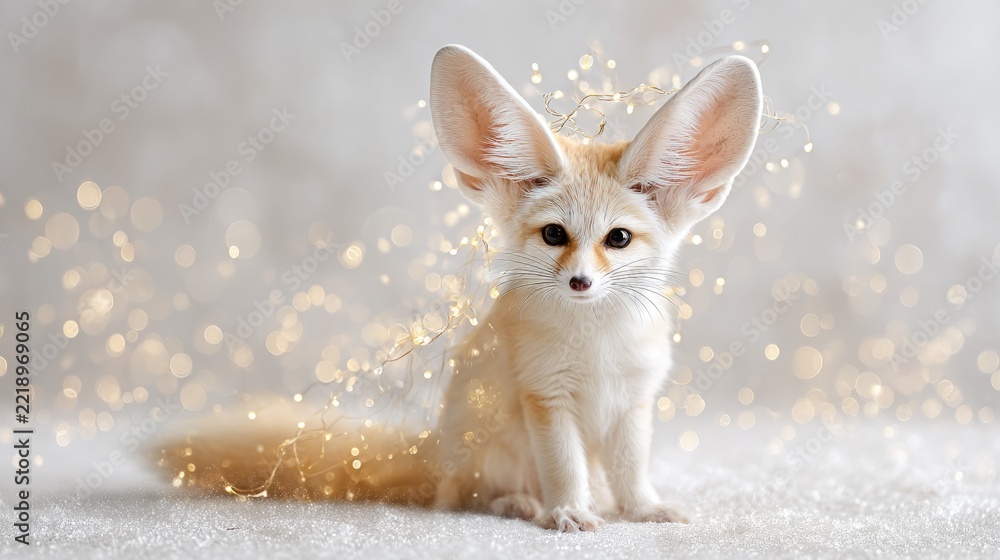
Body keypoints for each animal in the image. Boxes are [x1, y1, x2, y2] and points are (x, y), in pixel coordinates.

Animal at [156, 44, 762, 533]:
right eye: (554, 234)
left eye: (618, 238)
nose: (580, 281)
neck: (598, 345)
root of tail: (435, 450)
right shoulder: (545, 396)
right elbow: (564, 468)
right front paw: (569, 512)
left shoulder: (634, 401)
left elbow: (632, 471)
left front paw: (644, 510)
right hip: (492, 452)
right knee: (474, 496)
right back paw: (522, 504)